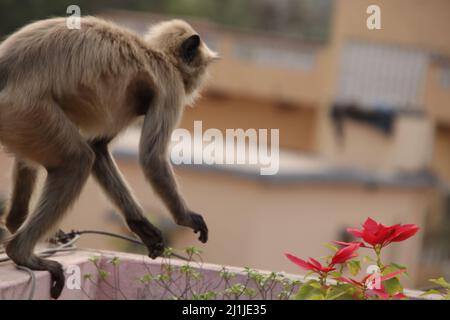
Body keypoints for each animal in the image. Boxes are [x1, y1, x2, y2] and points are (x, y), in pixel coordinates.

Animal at [0, 16, 218, 298]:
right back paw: (21, 252)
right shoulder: (171, 88)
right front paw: (186, 218)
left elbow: (99, 146)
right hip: (25, 110)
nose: (199, 82)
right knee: (78, 160)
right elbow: (151, 158)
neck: (156, 54)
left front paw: (141, 227)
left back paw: (16, 222)